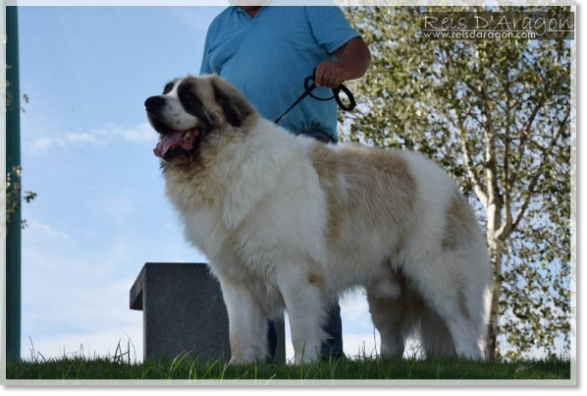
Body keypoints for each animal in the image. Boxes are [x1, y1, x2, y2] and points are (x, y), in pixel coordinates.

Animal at [146, 75, 492, 366]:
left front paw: (304, 367)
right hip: (386, 293)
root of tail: (452, 187)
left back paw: (469, 363)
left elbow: (301, 330)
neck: (228, 163)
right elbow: (241, 334)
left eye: (189, 97)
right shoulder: (237, 281)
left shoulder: (295, 272)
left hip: (436, 275)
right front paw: (240, 367)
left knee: (461, 323)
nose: (150, 101)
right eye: (166, 91)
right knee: (394, 339)